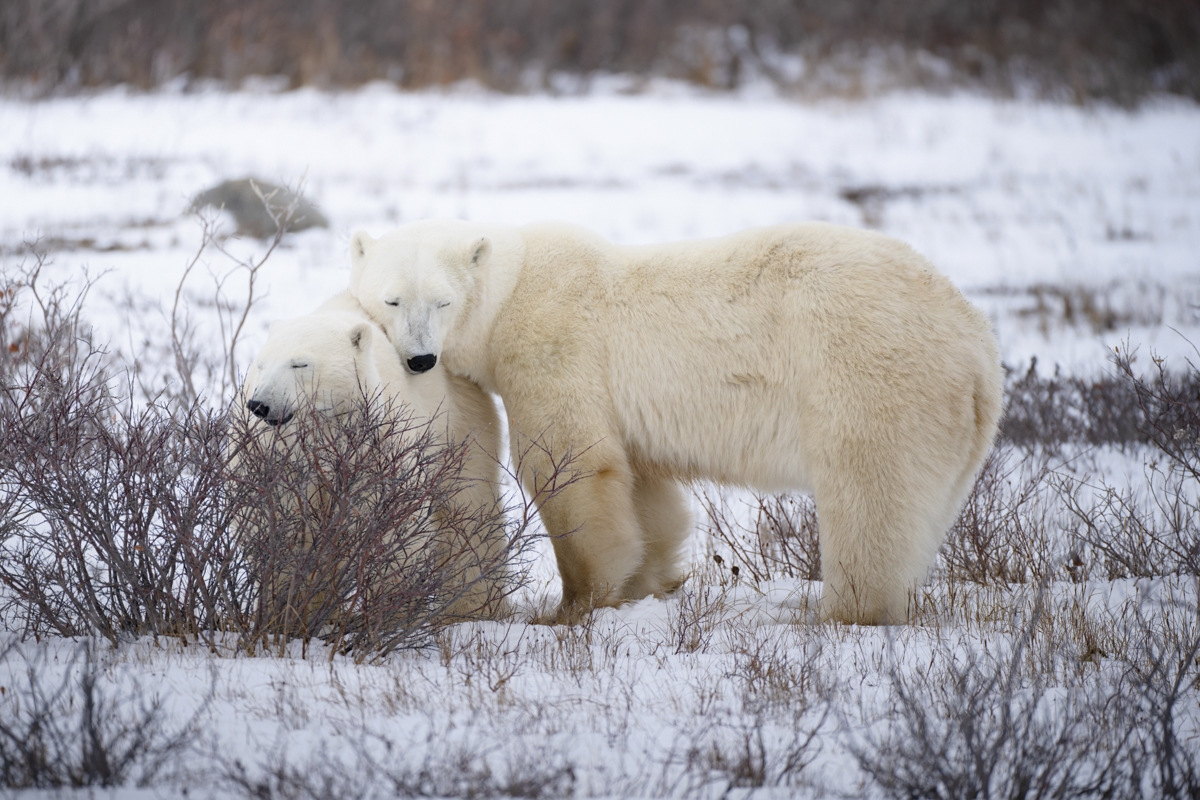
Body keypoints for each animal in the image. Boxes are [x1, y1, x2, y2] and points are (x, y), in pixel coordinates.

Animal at [241, 291, 510, 620]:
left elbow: (395, 522)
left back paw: (475, 607)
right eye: (261, 365)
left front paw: (389, 612)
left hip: (457, 424)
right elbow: (284, 525)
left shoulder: (379, 446)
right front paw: (287, 609)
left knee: (469, 507)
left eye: (300, 364)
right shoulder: (281, 460)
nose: (259, 404)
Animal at [347, 220, 1004, 626]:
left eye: (441, 301)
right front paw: (650, 584)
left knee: (870, 501)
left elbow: (570, 465)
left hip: (871, 379)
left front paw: (572, 607)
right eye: (391, 299)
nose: (421, 360)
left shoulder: (552, 343)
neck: (513, 286)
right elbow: (645, 490)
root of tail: (975, 344)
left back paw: (847, 611)